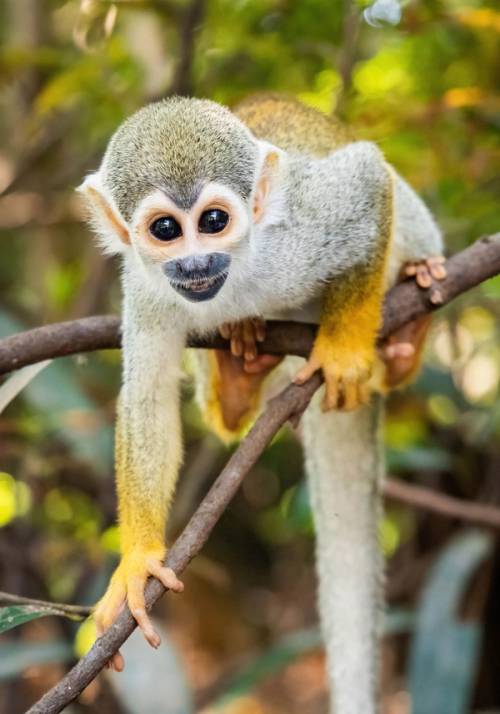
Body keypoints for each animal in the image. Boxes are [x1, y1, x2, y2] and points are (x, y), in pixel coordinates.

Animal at [78, 94, 444, 713]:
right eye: (166, 230)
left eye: (214, 222)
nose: (195, 265)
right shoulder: (145, 286)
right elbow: (147, 399)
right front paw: (138, 562)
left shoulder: (295, 233)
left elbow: (367, 177)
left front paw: (345, 352)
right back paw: (237, 377)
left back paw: (402, 341)